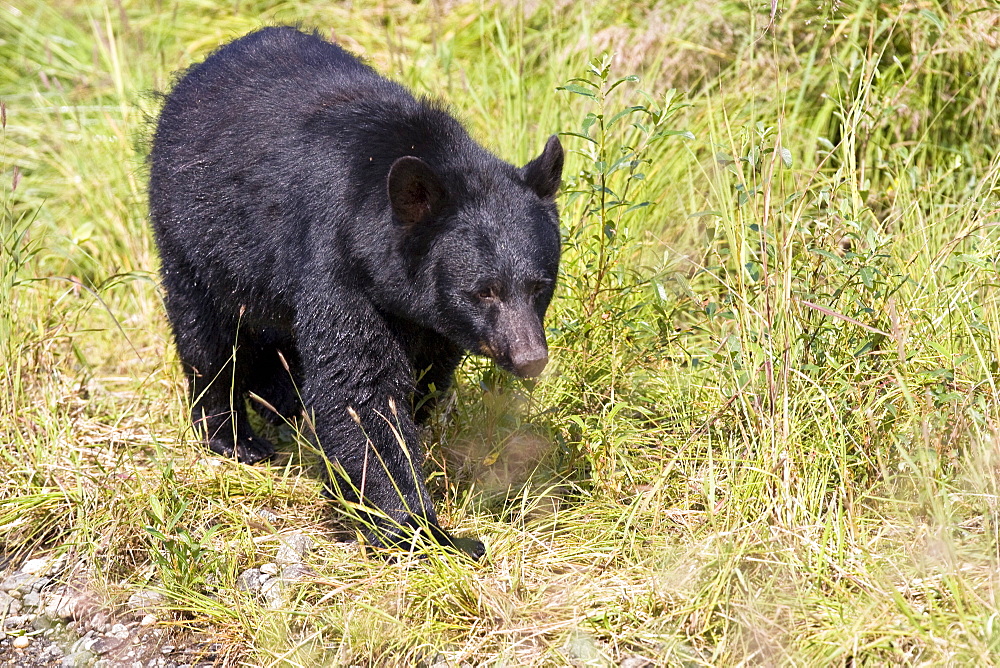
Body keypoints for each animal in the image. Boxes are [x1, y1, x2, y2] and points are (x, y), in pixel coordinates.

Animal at [148, 26, 564, 560]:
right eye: (484, 291)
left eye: (540, 286)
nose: (530, 358)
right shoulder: (336, 259)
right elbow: (360, 390)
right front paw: (426, 530)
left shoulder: (426, 316)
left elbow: (423, 374)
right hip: (195, 236)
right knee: (209, 334)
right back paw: (234, 436)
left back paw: (282, 400)